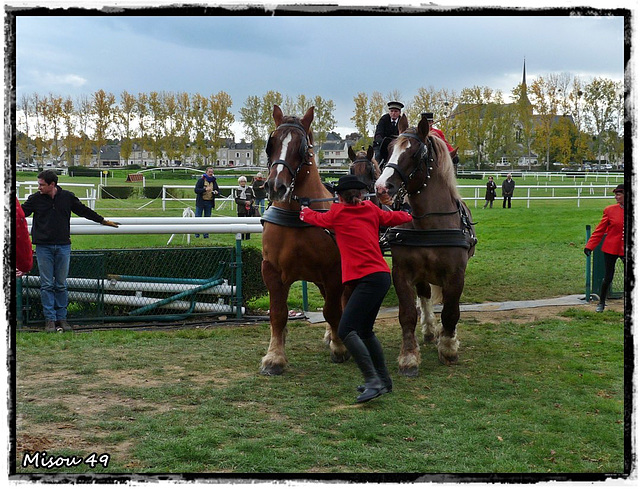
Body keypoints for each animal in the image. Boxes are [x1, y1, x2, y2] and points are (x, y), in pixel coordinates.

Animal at [260, 105, 350, 376]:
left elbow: (332, 310)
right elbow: (277, 313)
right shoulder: (272, 270)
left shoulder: (334, 270)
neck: (296, 215)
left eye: (302, 148)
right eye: (271, 143)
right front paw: (274, 357)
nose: (275, 186)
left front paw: (339, 347)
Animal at [376, 114, 476, 378]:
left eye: (414, 153)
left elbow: (451, 311)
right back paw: (430, 329)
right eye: (389, 149)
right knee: (425, 295)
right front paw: (409, 356)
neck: (429, 223)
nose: (381, 187)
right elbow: (408, 314)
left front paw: (449, 347)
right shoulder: (402, 272)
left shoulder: (456, 274)